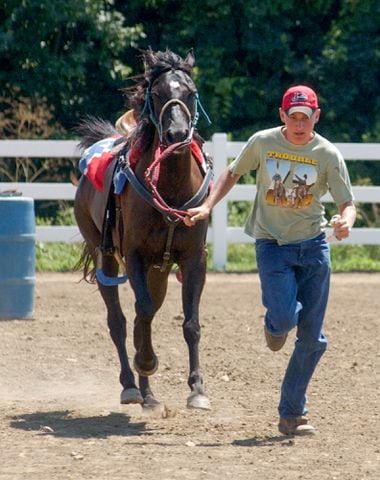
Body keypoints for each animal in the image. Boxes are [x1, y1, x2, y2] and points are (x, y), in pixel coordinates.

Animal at [72, 47, 212, 408]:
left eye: (191, 93)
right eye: (158, 93)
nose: (177, 135)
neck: (171, 187)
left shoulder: (194, 258)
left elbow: (189, 322)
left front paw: (197, 389)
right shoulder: (134, 256)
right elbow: (142, 312)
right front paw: (146, 362)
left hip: (158, 271)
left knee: (139, 318)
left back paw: (148, 393)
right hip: (105, 256)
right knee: (120, 321)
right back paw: (131, 384)